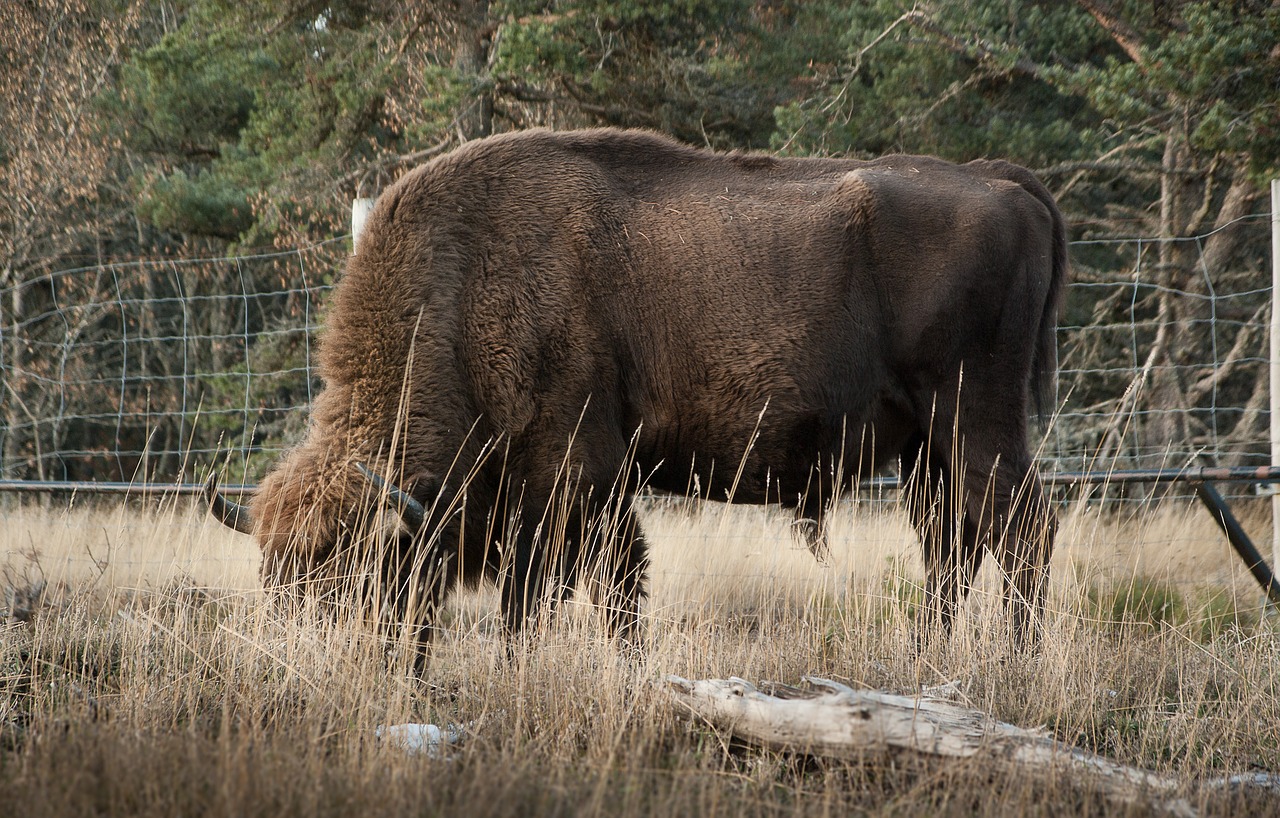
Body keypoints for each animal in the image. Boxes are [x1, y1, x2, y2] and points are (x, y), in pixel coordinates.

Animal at [209, 124, 1064, 655]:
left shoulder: (577, 475)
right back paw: (931, 655)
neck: (467, 286)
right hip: (925, 446)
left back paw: (1013, 659)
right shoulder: (555, 494)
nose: (312, 662)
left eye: (357, 577)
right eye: (274, 582)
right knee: (952, 543)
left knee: (1021, 526)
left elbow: (591, 594)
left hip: (976, 420)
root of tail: (997, 179)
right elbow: (557, 600)